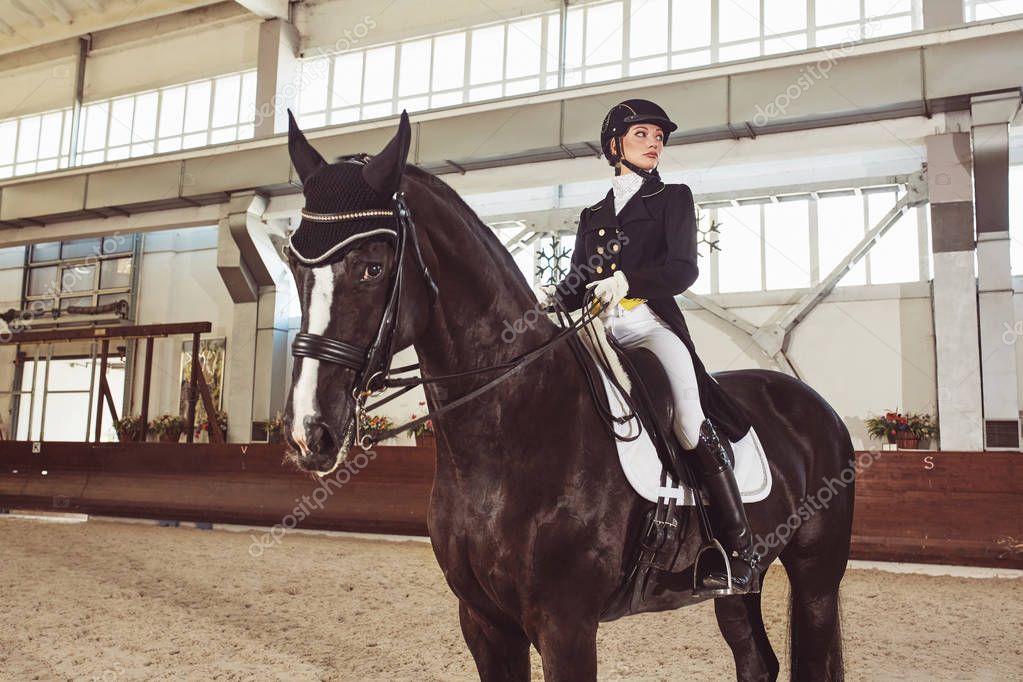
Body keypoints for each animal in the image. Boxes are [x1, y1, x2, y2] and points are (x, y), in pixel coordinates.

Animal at [282, 109, 855, 678]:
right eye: (292, 266)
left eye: (372, 267)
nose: (310, 432)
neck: (507, 435)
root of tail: (814, 405)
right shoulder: (484, 623)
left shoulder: (566, 627)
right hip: (740, 587)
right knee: (756, 660)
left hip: (816, 574)